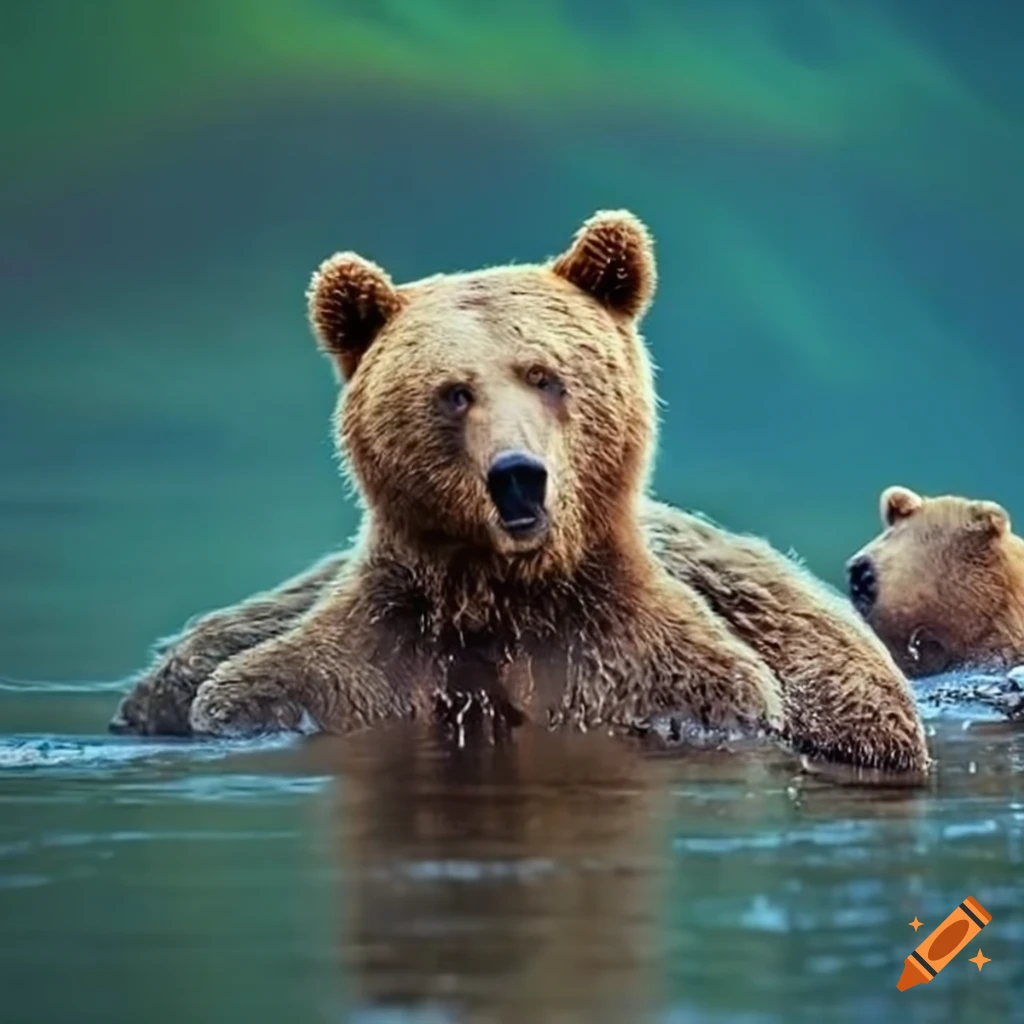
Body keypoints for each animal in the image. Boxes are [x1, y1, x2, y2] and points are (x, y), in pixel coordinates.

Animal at [110, 210, 929, 776]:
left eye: (544, 374)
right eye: (453, 391)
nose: (516, 473)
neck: (502, 597)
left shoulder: (648, 678)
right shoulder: (352, 672)